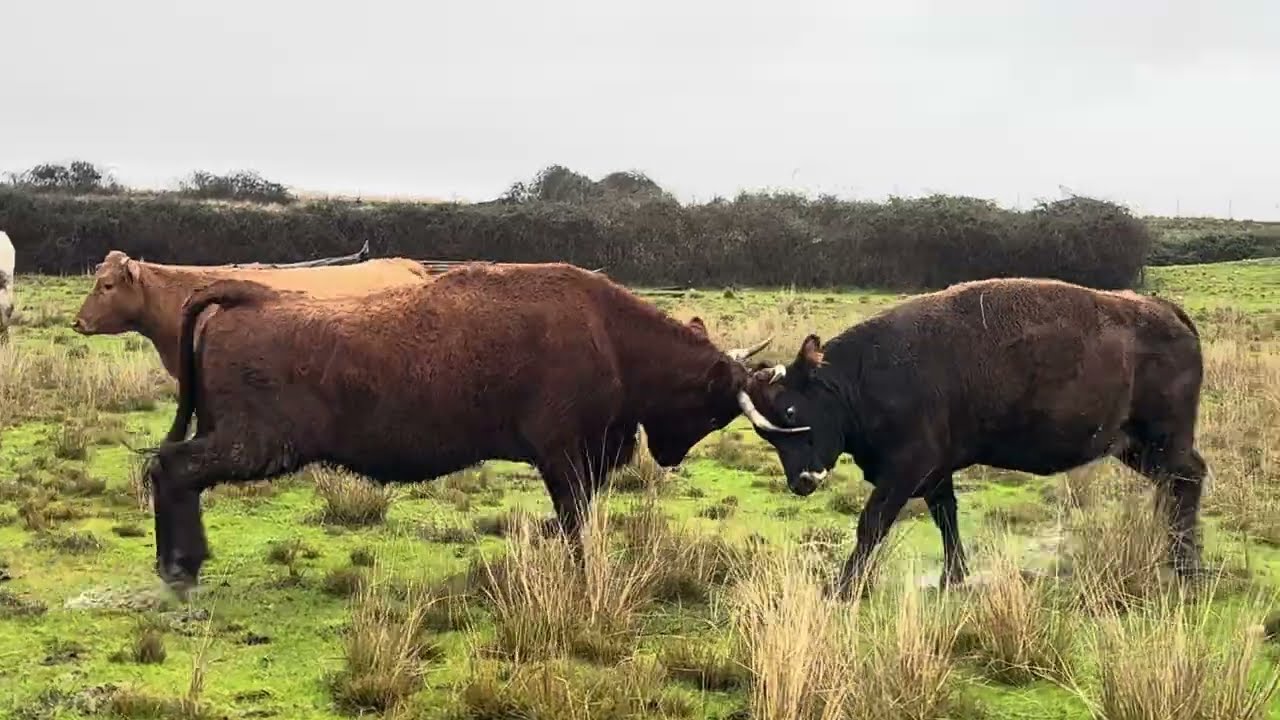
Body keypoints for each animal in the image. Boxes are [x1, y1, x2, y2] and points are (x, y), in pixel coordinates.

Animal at [144, 262, 798, 594]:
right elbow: (577, 526)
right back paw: (180, 568)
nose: (670, 455)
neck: (608, 334)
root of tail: (248, 298)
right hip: (255, 445)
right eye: (715, 409)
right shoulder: (565, 459)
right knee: (171, 468)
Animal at [740, 277, 1207, 599]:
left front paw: (841, 588)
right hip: (1135, 447)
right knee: (1178, 485)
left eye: (791, 411)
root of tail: (1165, 310)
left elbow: (871, 525)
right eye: (766, 434)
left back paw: (1184, 565)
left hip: (1164, 441)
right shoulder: (935, 473)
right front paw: (953, 577)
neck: (861, 377)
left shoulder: (906, 471)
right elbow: (946, 517)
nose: (802, 481)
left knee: (1188, 479)